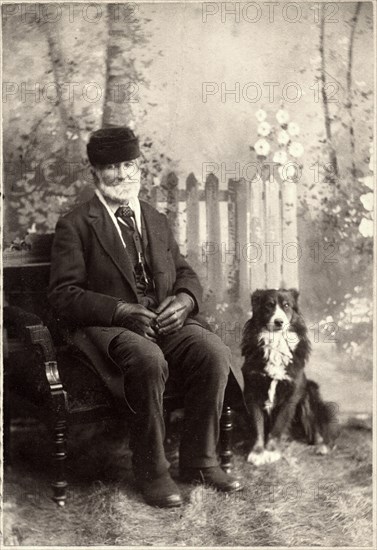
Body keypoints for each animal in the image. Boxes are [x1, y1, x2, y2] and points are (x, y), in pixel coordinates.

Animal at [241, 292, 334, 468]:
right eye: (269, 305)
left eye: (286, 306)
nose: (279, 322)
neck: (275, 342)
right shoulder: (252, 391)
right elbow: (258, 426)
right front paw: (257, 452)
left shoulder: (292, 393)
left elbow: (278, 426)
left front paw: (271, 452)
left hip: (309, 391)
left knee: (316, 427)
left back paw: (321, 446)